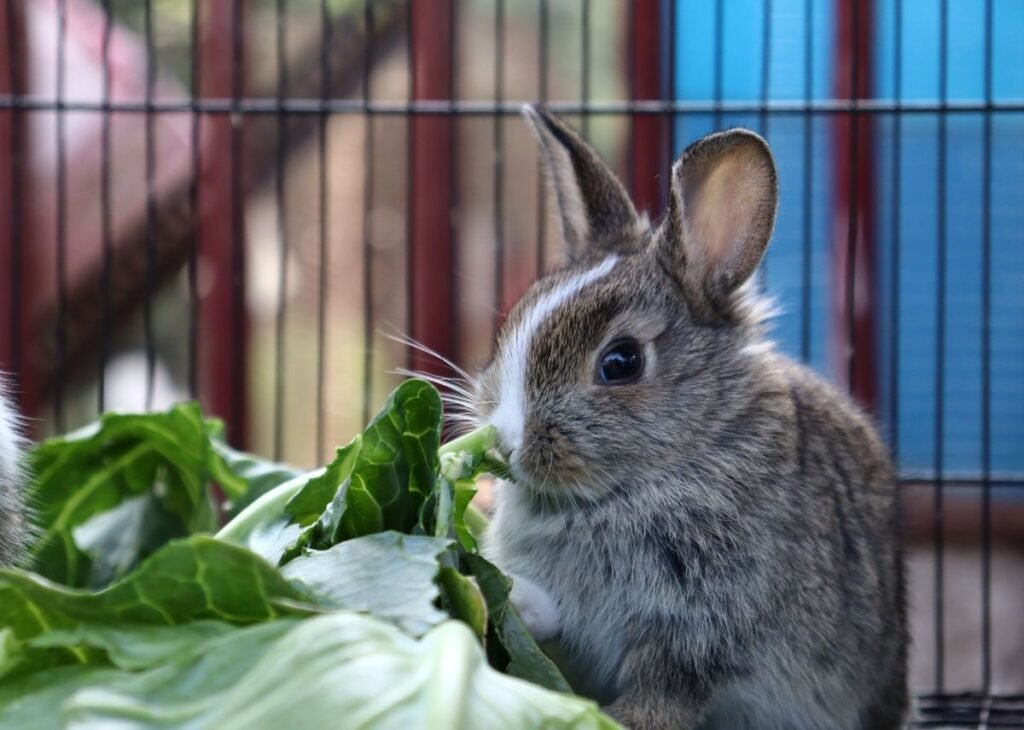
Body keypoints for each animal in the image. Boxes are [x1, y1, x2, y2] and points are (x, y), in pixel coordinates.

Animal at [475, 107, 908, 730]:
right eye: (512, 326)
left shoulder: (698, 627)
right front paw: (504, 594)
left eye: (621, 362)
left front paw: (623, 719)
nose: (506, 442)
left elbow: (666, 687)